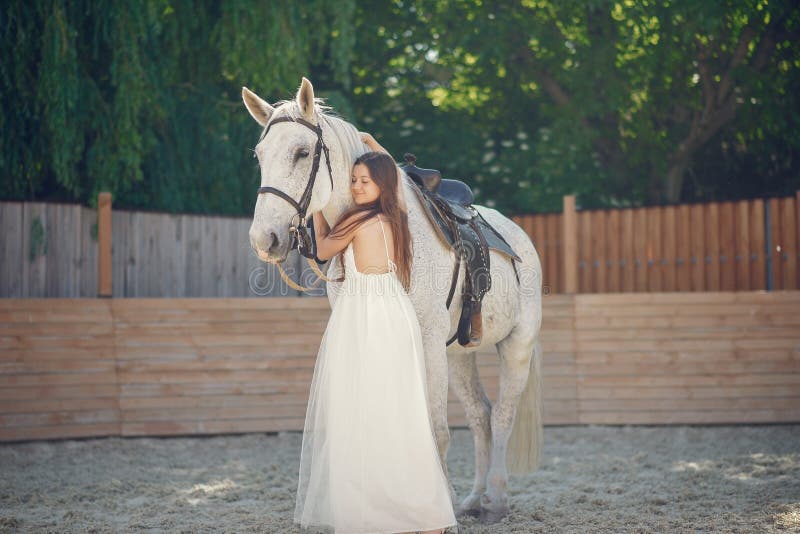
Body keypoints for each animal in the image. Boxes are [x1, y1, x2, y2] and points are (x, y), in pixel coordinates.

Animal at [244, 77, 543, 523]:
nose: (265, 239)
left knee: (504, 416)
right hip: (459, 355)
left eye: (302, 152)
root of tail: (519, 236)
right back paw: (474, 498)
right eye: (260, 155)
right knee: (481, 416)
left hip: (516, 344)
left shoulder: (430, 341)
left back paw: (497, 498)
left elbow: (436, 430)